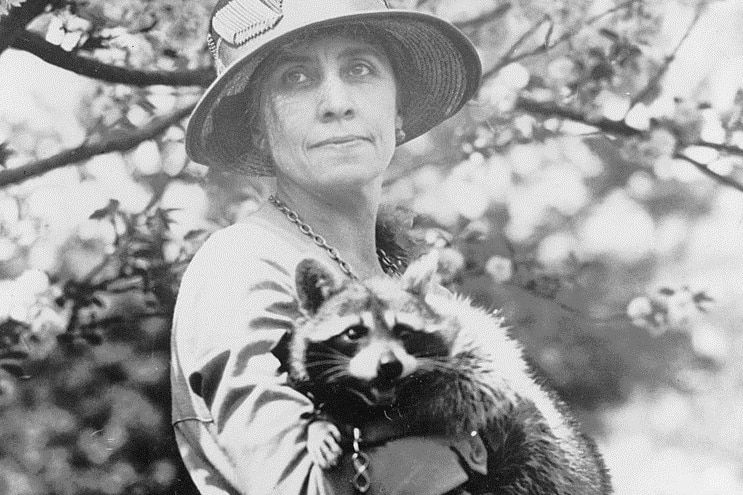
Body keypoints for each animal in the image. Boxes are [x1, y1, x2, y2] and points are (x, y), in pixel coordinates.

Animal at [288, 256, 612, 495]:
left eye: (404, 332)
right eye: (354, 333)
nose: (389, 366)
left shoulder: (475, 357)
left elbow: (462, 394)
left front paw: (358, 425)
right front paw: (323, 423)